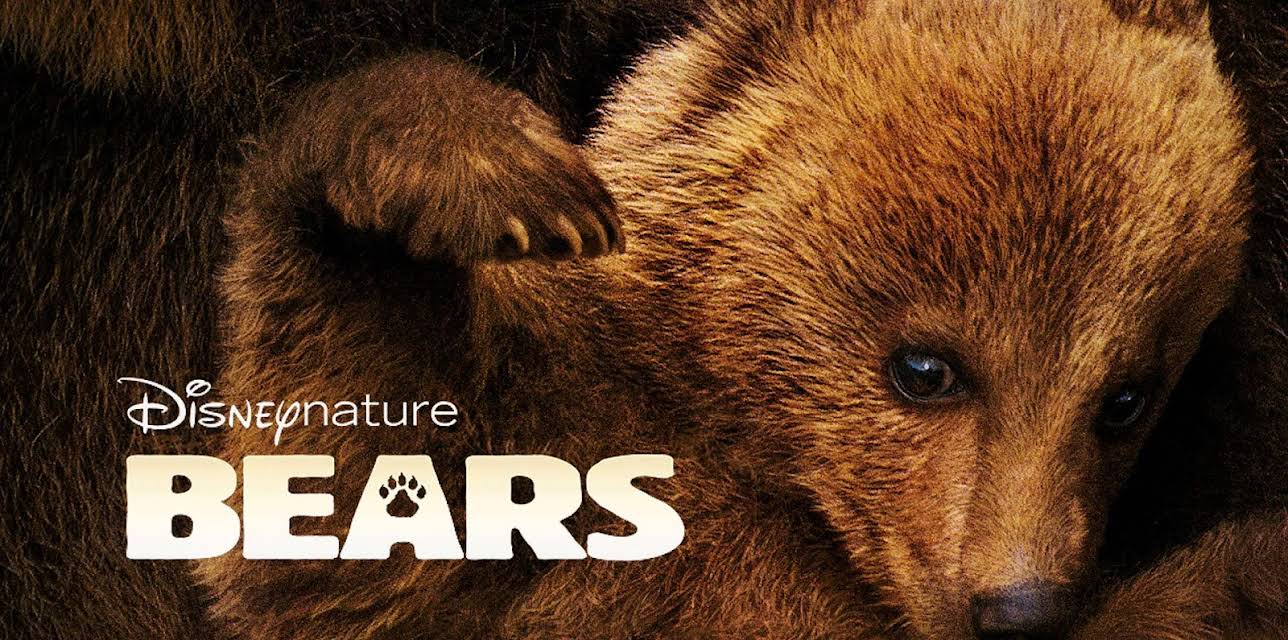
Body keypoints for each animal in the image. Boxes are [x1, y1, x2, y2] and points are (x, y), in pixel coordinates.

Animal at [193, 0, 1287, 638]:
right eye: (925, 366)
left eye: (1125, 398)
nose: (1016, 608)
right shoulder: (568, 436)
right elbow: (351, 532)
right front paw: (489, 169)